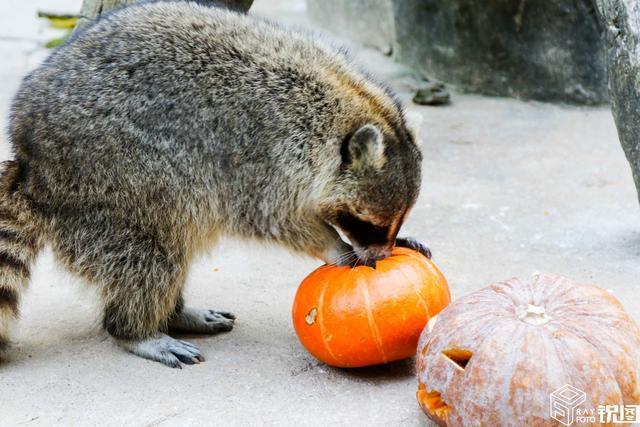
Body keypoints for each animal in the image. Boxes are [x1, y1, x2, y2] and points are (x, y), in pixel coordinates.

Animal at [2, 0, 430, 368]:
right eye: (367, 222)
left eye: (391, 223)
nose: (382, 255)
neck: (345, 103)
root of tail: (29, 164)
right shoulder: (262, 154)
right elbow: (274, 219)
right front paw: (336, 247)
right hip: (105, 180)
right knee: (150, 254)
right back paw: (134, 329)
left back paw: (174, 313)